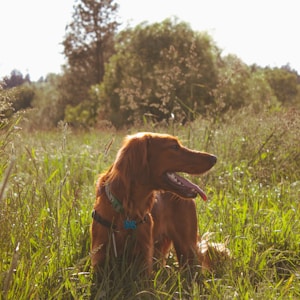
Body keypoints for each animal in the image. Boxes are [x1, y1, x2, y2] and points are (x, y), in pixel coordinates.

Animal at [90, 132, 217, 276]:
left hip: (187, 249)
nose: (214, 158)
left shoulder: (144, 261)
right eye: (174, 146)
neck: (128, 209)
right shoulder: (99, 259)